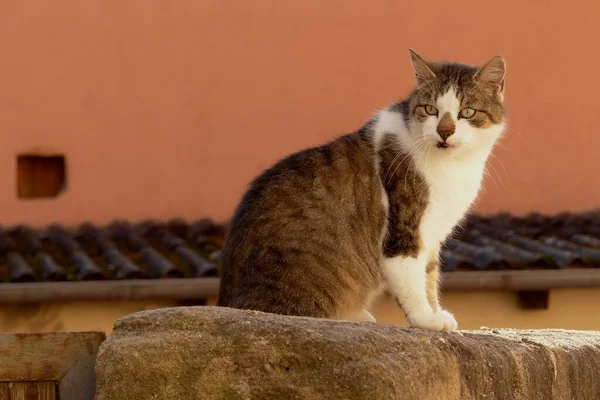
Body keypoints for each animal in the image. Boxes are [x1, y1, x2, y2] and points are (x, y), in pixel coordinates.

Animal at [218, 50, 504, 332]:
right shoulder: (404, 230)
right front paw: (426, 319)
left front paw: (436, 311)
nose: (445, 131)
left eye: (467, 112)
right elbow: (412, 280)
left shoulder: (432, 237)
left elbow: (429, 277)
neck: (453, 167)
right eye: (431, 110)